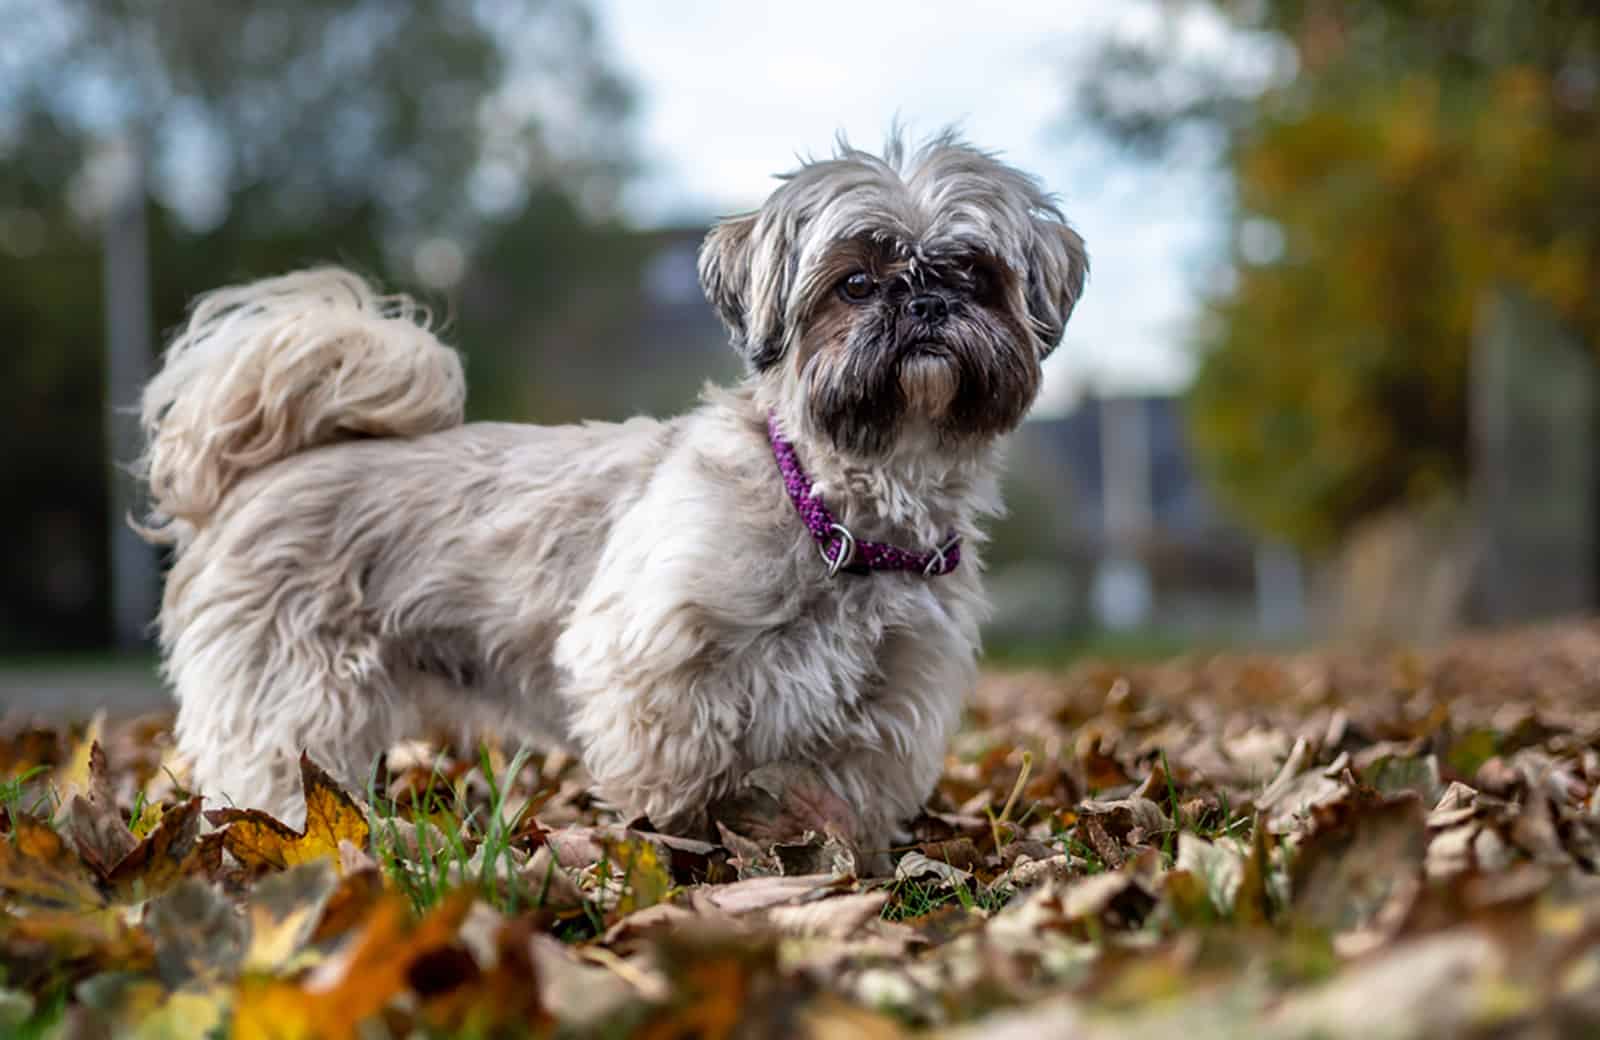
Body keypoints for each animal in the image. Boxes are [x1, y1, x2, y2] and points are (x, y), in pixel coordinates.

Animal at [137, 132, 1088, 844]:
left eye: (975, 275)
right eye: (854, 284)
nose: (924, 302)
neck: (834, 506)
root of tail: (265, 473)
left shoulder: (886, 707)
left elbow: (835, 803)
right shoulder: (649, 664)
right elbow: (681, 776)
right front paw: (690, 852)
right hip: (293, 700)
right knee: (271, 773)